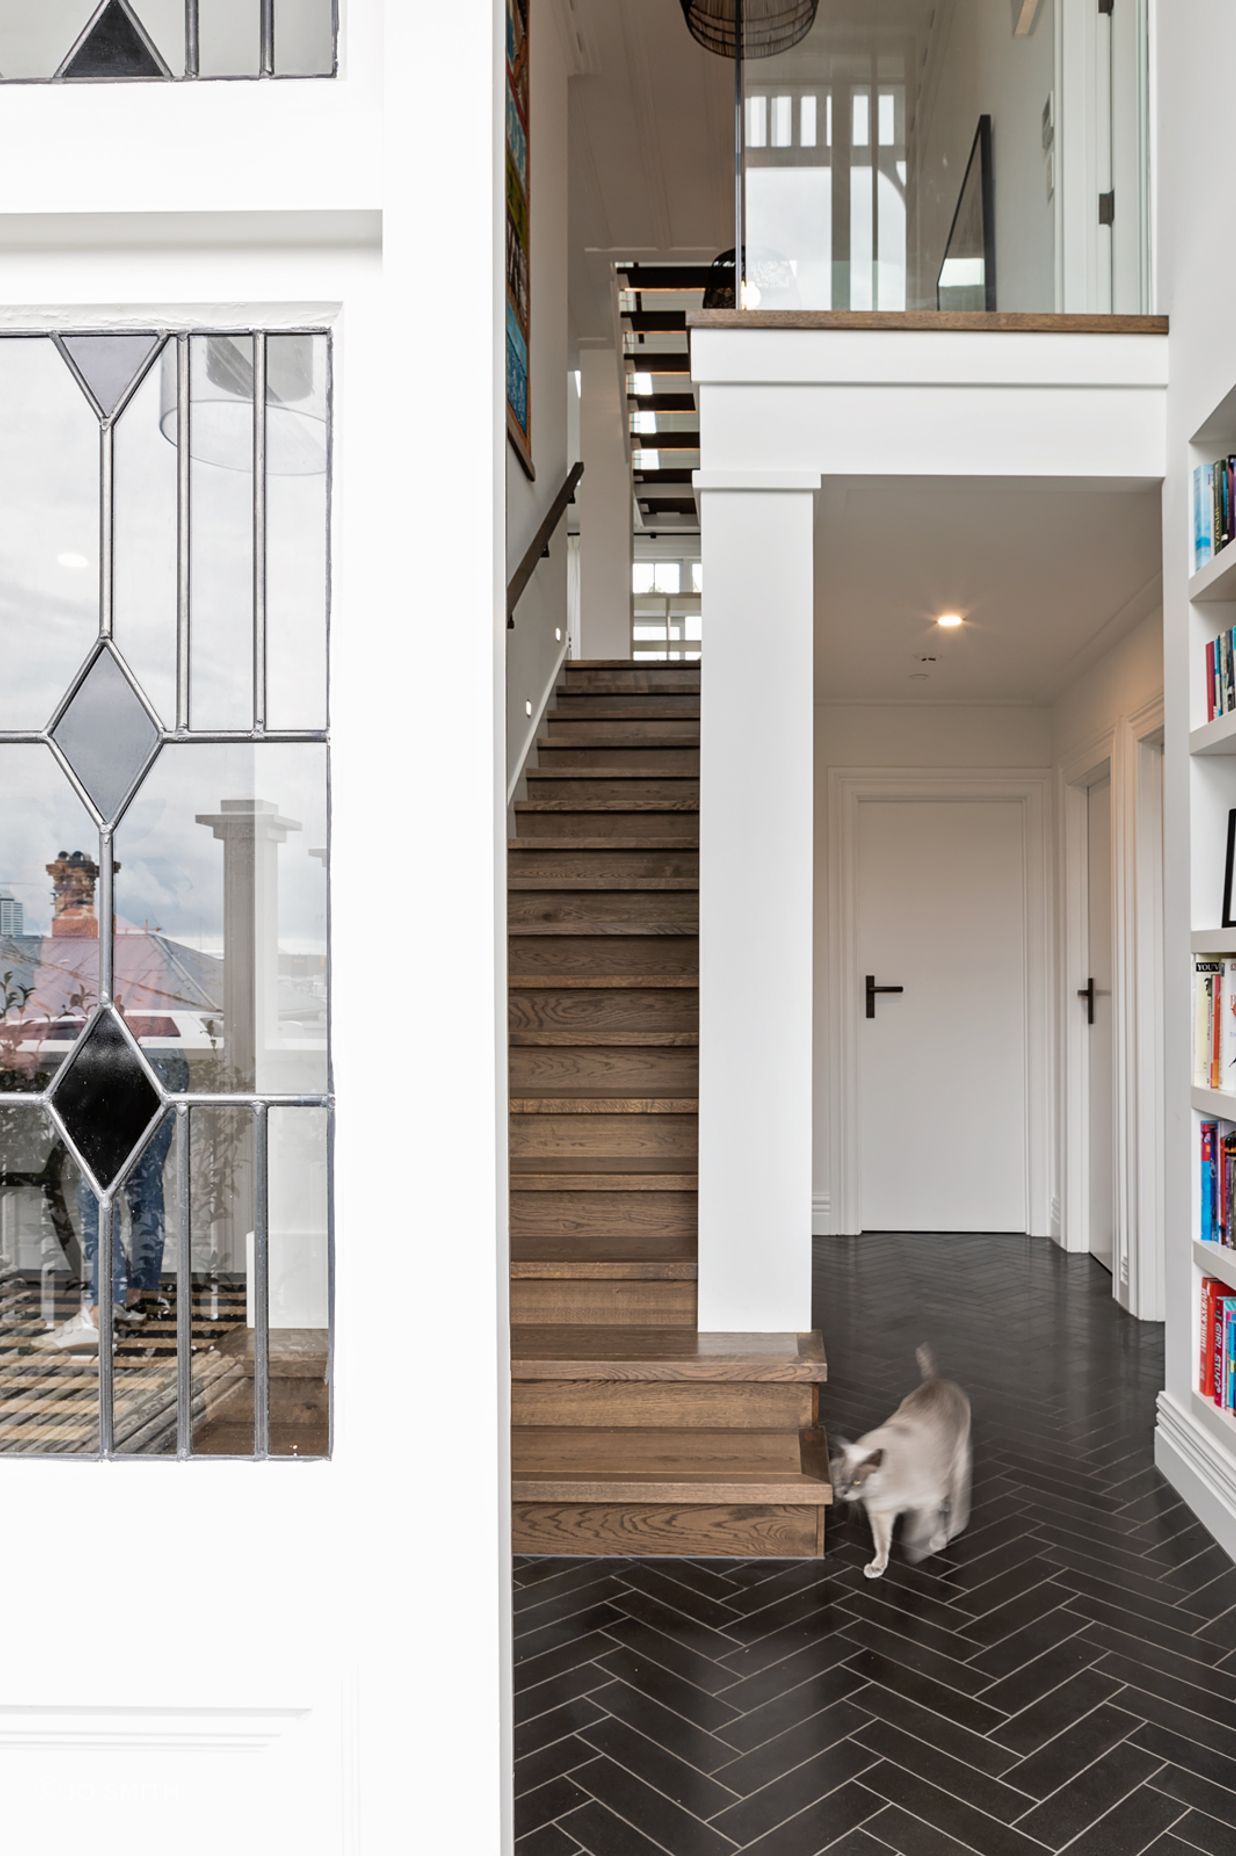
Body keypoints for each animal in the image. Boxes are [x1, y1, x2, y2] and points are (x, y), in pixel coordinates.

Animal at [827, 1343, 965, 1573]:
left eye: (857, 1481)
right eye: (839, 1479)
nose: (843, 1492)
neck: (883, 1490)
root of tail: (935, 1380)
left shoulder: (925, 1500)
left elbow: (923, 1529)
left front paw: (927, 1547)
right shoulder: (880, 1514)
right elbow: (882, 1543)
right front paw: (877, 1567)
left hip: (958, 1458)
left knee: (955, 1494)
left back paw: (950, 1520)